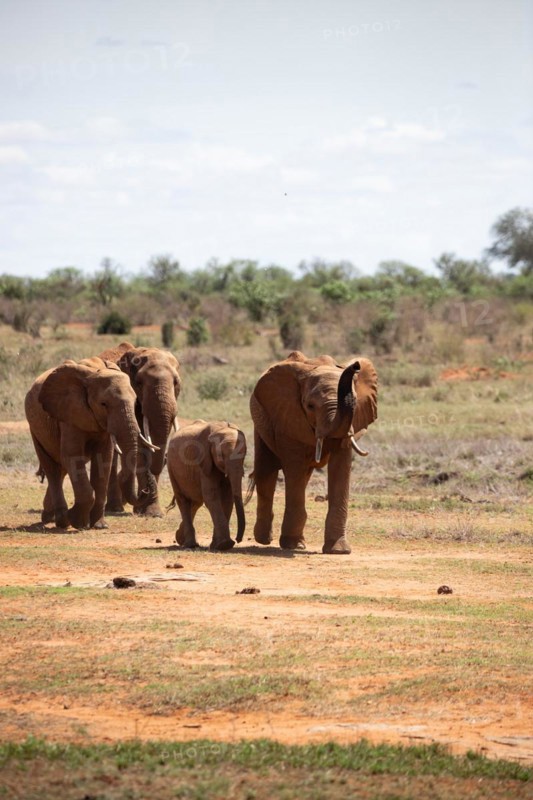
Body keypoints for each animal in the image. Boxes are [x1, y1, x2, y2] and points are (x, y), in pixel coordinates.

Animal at [24, 357, 157, 530]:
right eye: (103, 404)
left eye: (135, 402)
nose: (145, 490)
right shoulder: (69, 414)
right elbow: (72, 456)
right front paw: (78, 522)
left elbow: (104, 459)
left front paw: (100, 525)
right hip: (35, 428)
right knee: (52, 468)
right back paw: (62, 521)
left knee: (61, 468)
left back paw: (50, 517)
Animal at [98, 342, 181, 517]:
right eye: (139, 383)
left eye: (176, 383)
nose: (165, 459)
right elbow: (141, 444)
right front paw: (152, 513)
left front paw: (150, 512)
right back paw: (115, 508)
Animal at [167, 419, 247, 551]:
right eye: (221, 456)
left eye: (244, 455)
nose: (238, 539)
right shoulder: (204, 462)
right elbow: (211, 497)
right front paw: (225, 544)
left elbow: (227, 499)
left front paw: (218, 545)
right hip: (171, 468)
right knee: (183, 501)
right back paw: (190, 544)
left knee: (196, 502)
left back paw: (180, 538)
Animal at [249, 350, 378, 554]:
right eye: (310, 406)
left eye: (356, 402)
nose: (355, 365)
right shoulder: (288, 417)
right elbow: (294, 467)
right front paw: (290, 546)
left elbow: (340, 467)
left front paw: (338, 550)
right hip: (261, 421)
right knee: (267, 471)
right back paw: (264, 539)